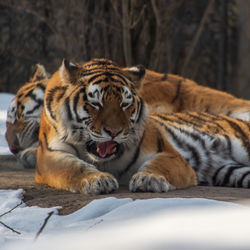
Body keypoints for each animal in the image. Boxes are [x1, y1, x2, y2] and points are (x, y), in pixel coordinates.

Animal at [5, 58, 250, 193]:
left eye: (125, 104)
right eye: (95, 103)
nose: (114, 132)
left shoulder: (170, 155)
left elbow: (160, 166)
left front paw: (149, 179)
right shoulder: (51, 156)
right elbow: (72, 169)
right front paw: (97, 180)